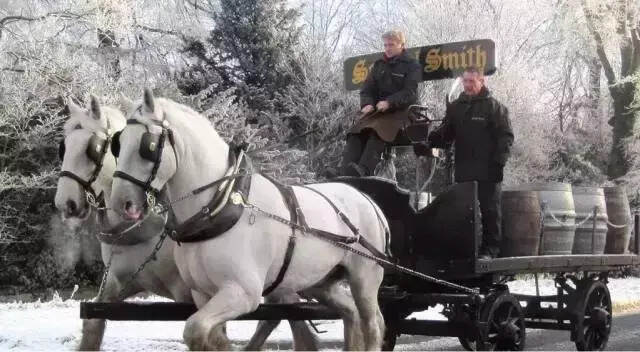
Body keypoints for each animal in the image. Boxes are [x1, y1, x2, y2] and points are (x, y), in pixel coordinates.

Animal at [55, 95, 318, 350]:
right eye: (64, 147)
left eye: (93, 148)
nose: (65, 203)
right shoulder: (117, 283)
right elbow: (93, 325)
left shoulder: (194, 291)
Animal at [109, 89, 384, 350]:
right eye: (118, 143)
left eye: (147, 146)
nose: (120, 203)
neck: (221, 207)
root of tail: (366, 199)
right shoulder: (203, 294)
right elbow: (207, 337)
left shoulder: (243, 293)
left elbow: (195, 329)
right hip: (321, 282)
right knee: (350, 311)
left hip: (365, 279)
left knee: (372, 325)